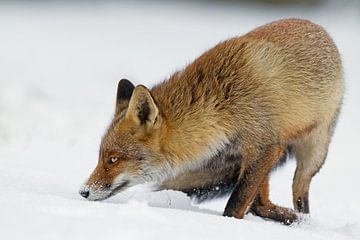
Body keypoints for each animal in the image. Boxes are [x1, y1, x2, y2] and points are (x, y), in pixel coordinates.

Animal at [79, 18, 344, 225]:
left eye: (113, 160)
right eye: (101, 157)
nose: (83, 192)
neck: (221, 106)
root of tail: (319, 29)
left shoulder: (264, 146)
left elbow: (234, 205)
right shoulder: (256, 153)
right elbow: (248, 200)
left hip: (314, 151)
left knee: (299, 192)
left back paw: (302, 219)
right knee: (261, 203)